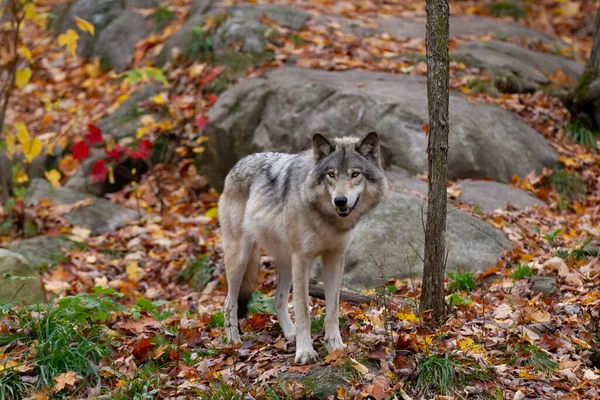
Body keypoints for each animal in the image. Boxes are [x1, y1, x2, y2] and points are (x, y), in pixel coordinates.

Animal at [218, 133, 386, 364]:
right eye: (331, 174)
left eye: (355, 174)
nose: (340, 201)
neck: (327, 219)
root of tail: (237, 164)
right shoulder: (302, 259)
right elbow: (303, 311)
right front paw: (305, 352)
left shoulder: (335, 258)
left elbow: (332, 310)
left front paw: (335, 346)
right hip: (241, 259)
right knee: (229, 302)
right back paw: (233, 340)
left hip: (286, 262)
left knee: (278, 302)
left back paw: (291, 334)